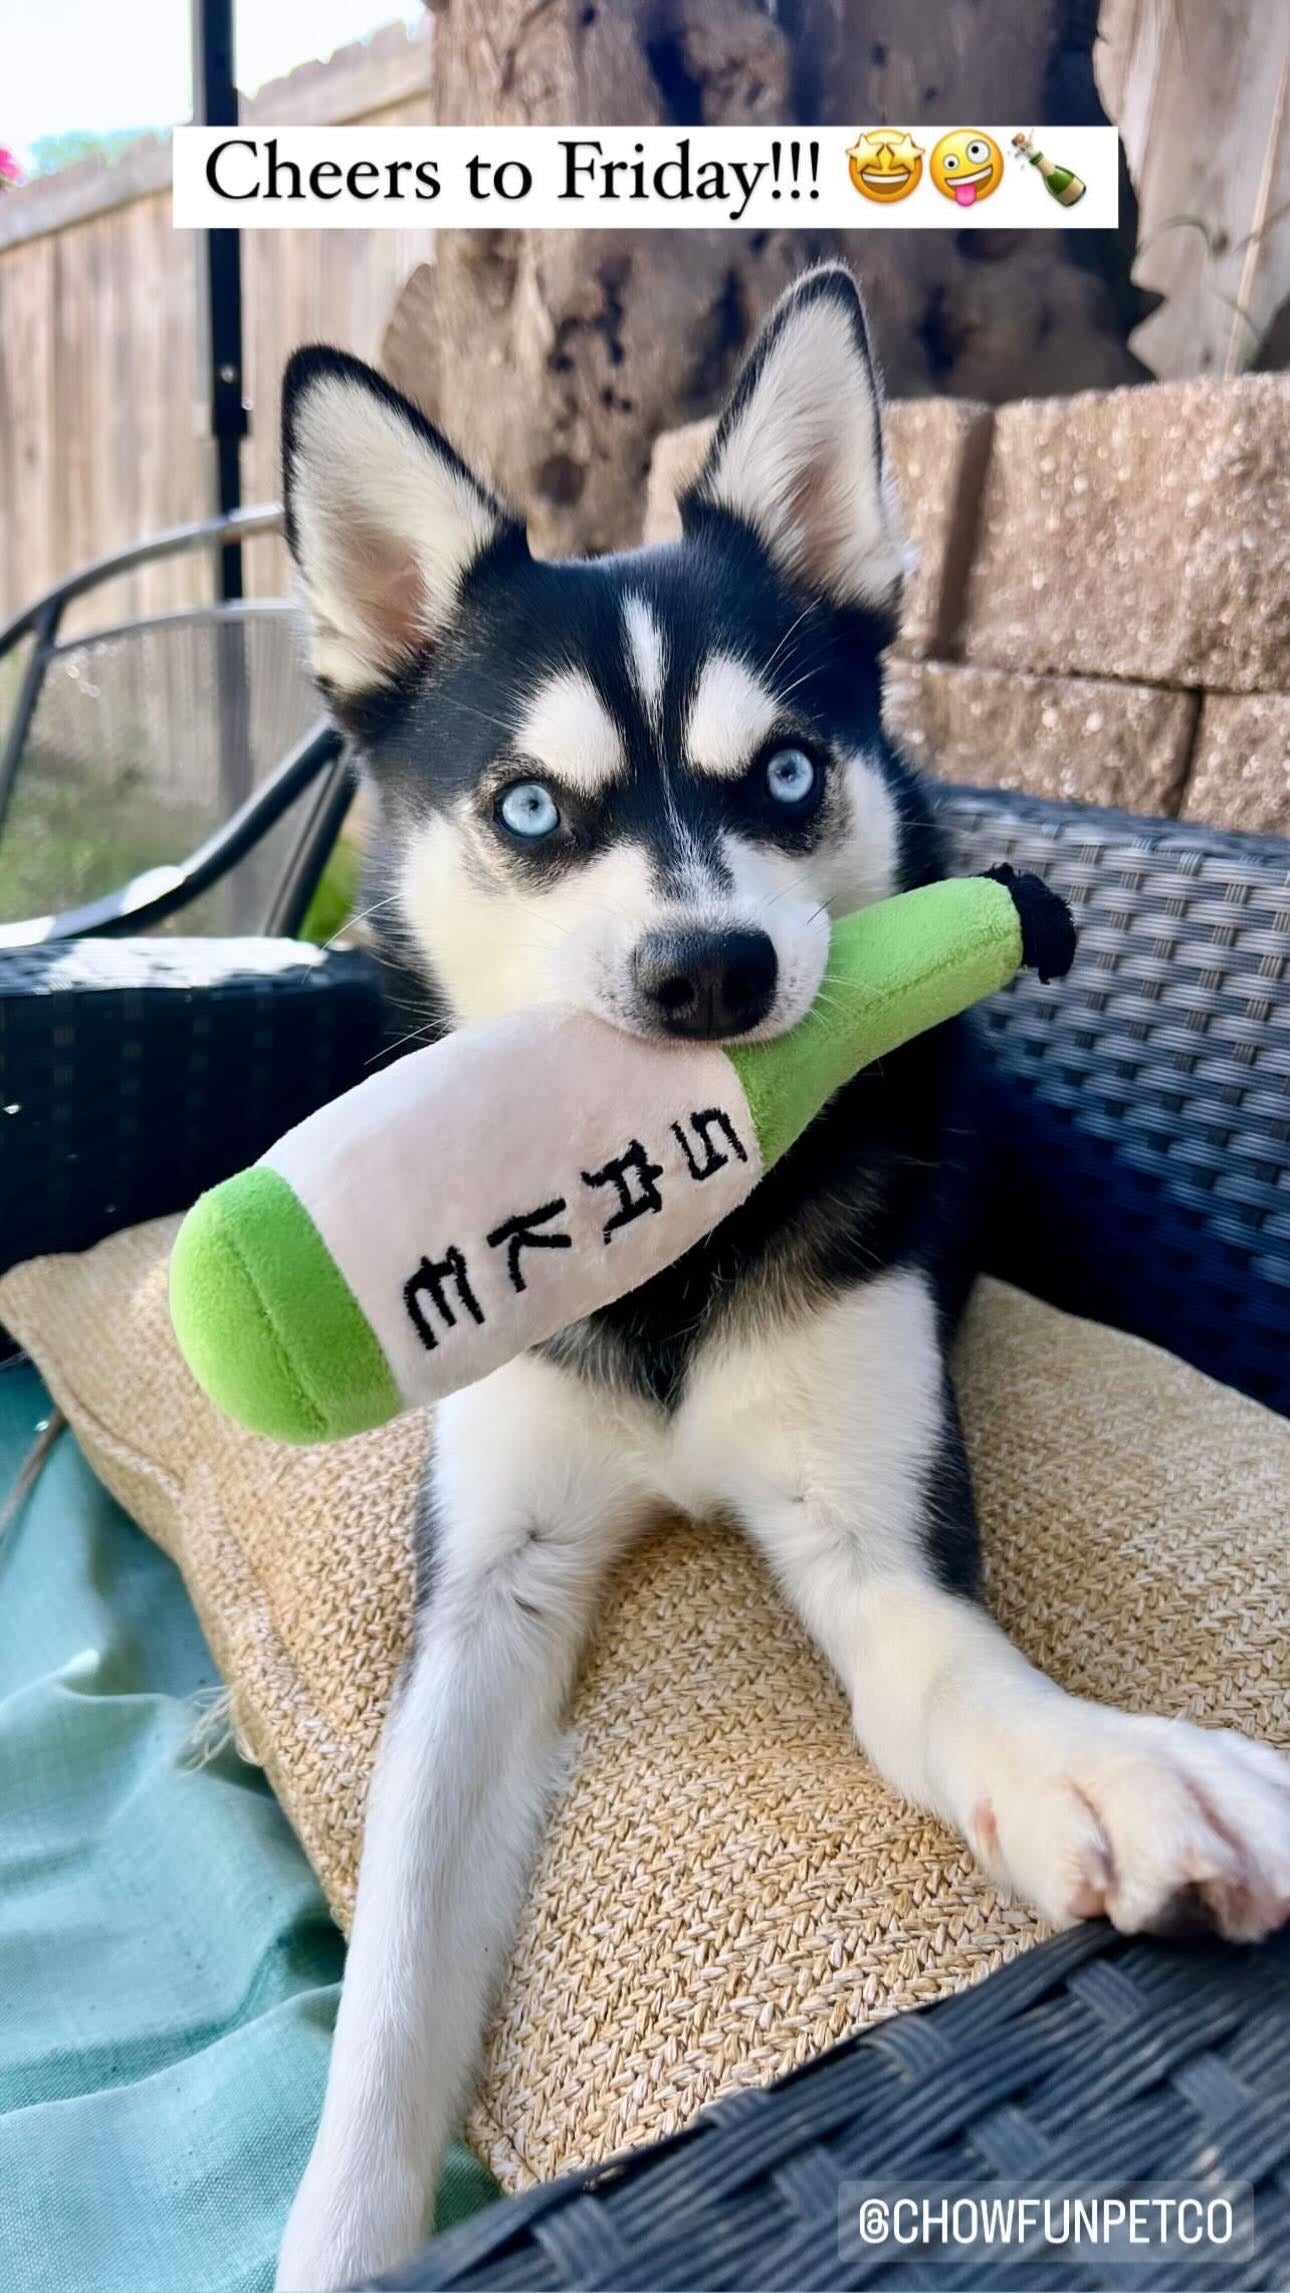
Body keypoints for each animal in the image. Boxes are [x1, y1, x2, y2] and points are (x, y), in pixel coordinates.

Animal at [274, 263, 1290, 2274]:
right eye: (529, 808)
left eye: (793, 774)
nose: (710, 971)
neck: (677, 1239)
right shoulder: (485, 1591)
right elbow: (397, 1958)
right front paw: (340, 2223)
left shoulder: (867, 1530)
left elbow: (959, 1674)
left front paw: (1100, 1765)